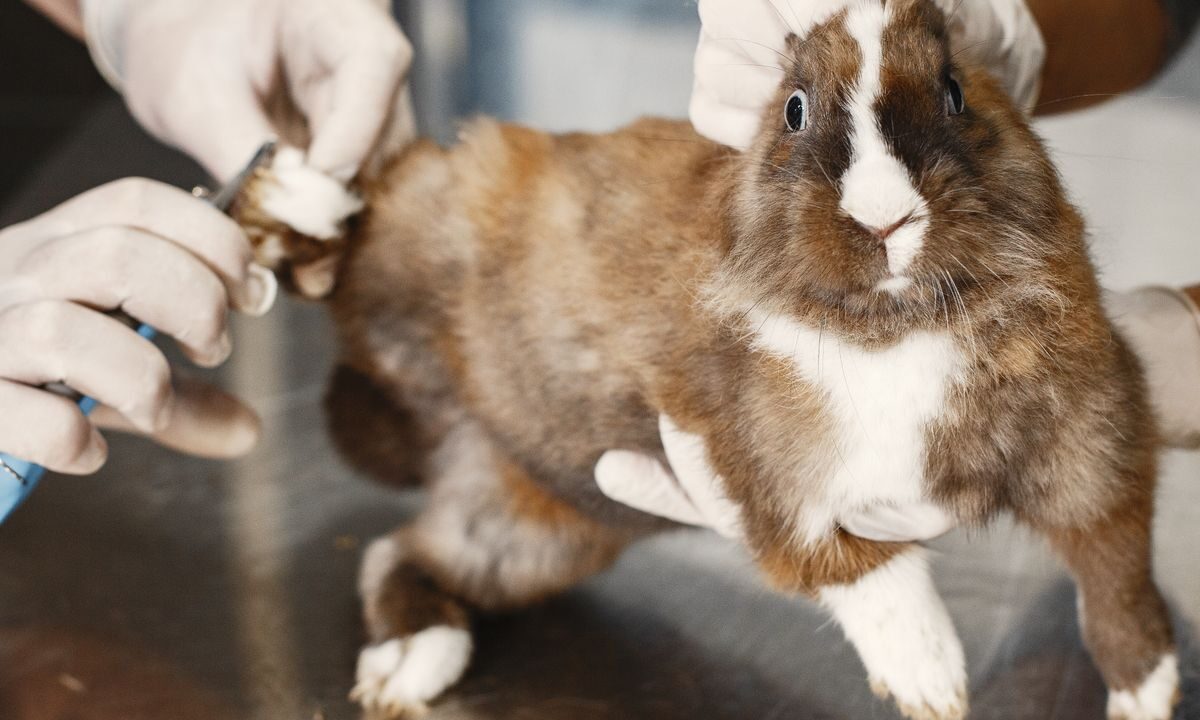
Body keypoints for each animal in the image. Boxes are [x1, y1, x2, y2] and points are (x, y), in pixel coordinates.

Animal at [235, 0, 1180, 718]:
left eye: (954, 93)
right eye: (793, 109)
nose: (886, 219)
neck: (895, 327)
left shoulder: (1094, 442)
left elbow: (1114, 570)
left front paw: (1148, 690)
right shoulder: (766, 477)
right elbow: (864, 571)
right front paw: (931, 679)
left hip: (540, 526)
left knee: (400, 552)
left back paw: (411, 663)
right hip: (416, 237)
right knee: (348, 237)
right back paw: (295, 192)